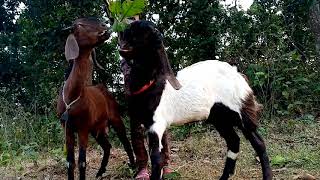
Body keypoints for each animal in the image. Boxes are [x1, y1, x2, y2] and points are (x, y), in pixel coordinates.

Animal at [56, 17, 134, 180]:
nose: (105, 25)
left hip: (114, 117)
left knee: (125, 140)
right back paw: (100, 171)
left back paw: (134, 166)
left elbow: (82, 162)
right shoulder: (67, 128)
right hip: (96, 127)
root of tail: (103, 89)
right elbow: (70, 162)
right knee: (107, 146)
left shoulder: (83, 127)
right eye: (79, 25)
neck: (72, 96)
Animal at [119, 20, 272, 180]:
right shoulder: (148, 124)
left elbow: (156, 158)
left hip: (240, 110)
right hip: (219, 117)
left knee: (258, 143)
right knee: (233, 141)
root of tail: (238, 74)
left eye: (143, 34)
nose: (123, 33)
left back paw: (267, 176)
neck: (152, 83)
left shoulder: (157, 124)